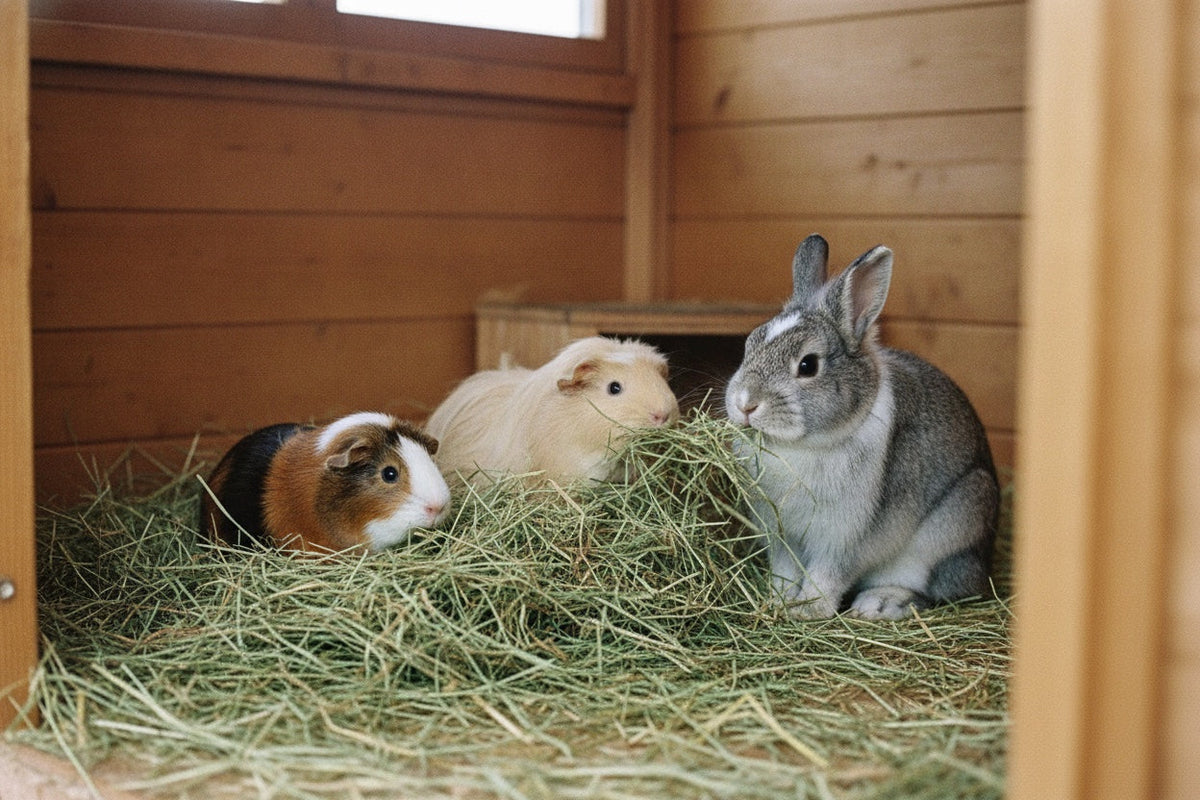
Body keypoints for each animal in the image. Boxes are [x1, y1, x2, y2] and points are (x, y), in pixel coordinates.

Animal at [725, 234, 999, 620]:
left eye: (808, 365)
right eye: (749, 344)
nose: (745, 403)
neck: (801, 445)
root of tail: (981, 567)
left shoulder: (843, 539)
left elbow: (827, 576)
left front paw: (808, 611)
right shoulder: (781, 536)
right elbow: (785, 570)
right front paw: (778, 600)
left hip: (954, 526)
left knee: (932, 590)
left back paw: (879, 603)